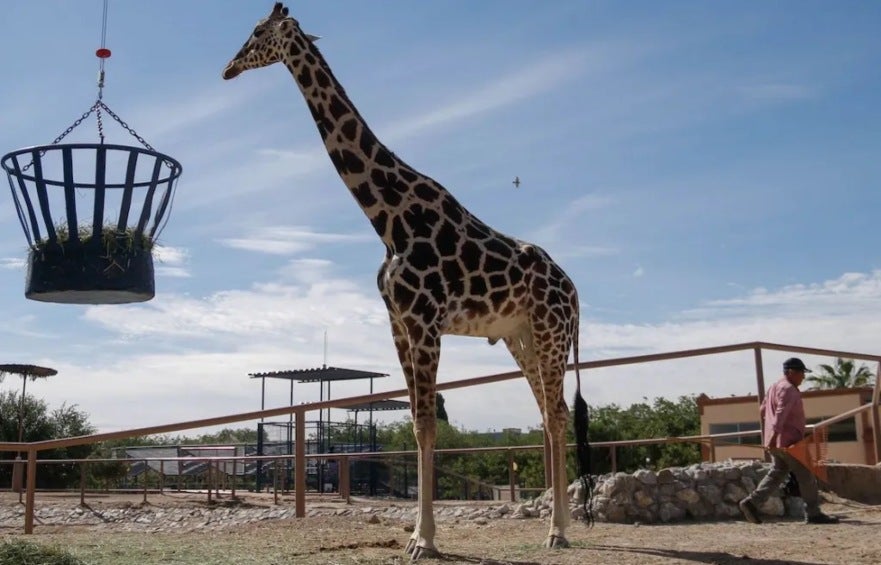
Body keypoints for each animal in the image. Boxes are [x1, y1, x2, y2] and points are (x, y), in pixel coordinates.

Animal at [222, 4, 592, 556]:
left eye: (259, 32)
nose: (228, 67)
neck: (388, 219)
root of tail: (575, 292)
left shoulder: (424, 321)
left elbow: (426, 426)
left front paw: (425, 540)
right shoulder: (398, 323)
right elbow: (418, 423)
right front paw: (418, 536)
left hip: (550, 333)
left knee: (559, 414)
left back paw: (558, 532)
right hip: (520, 336)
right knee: (550, 414)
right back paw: (554, 524)